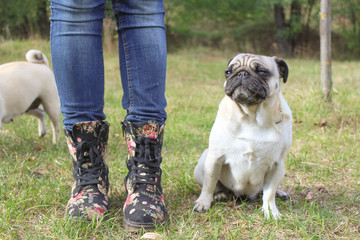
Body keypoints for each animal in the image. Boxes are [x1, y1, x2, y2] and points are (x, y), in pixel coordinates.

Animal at [193, 53, 292, 219]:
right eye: (228, 72)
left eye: (261, 71)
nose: (242, 73)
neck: (251, 116)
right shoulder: (215, 157)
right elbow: (209, 183)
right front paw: (203, 203)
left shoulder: (277, 164)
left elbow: (269, 192)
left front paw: (270, 210)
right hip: (203, 161)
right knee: (214, 185)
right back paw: (219, 195)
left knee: (266, 190)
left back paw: (280, 192)